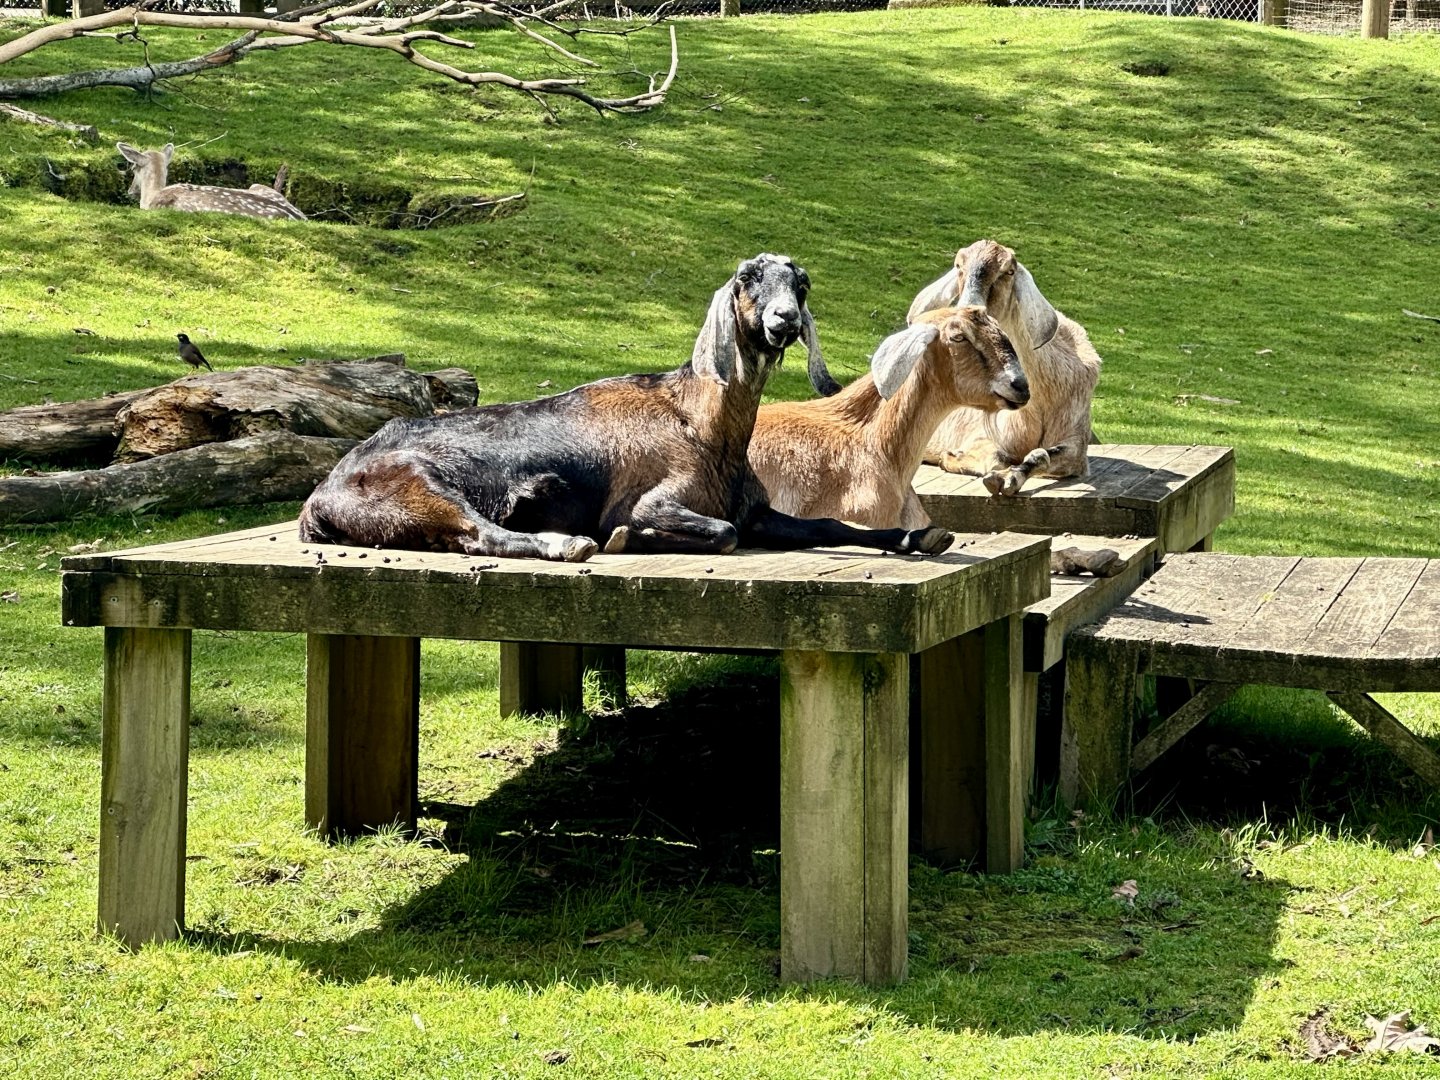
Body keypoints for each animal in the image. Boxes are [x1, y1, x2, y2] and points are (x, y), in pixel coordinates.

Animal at [298, 254, 954, 562]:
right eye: (748, 278)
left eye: (802, 284)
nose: (783, 321)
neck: (701, 424)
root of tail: (321, 496)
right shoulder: (653, 499)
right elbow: (719, 535)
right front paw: (624, 539)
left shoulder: (758, 511)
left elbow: (828, 524)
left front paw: (918, 537)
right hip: (416, 486)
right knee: (480, 534)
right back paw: (568, 545)